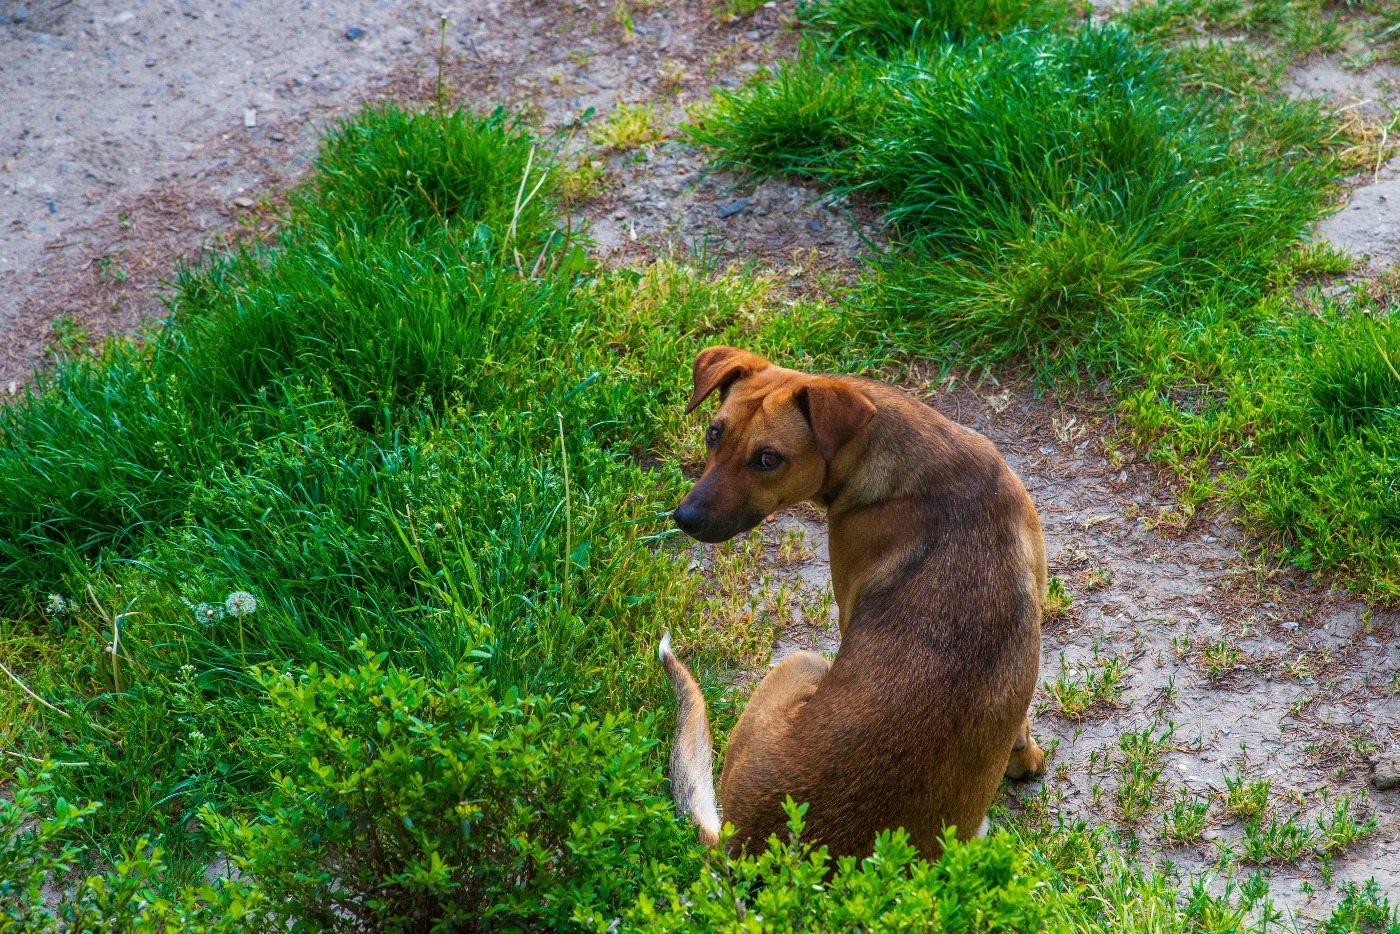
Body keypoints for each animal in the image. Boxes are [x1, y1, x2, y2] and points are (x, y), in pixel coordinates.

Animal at [660, 345, 1047, 862]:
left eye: (768, 459)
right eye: (713, 432)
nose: (685, 518)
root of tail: (742, 848)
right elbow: (1020, 723)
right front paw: (1024, 759)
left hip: (802, 661)